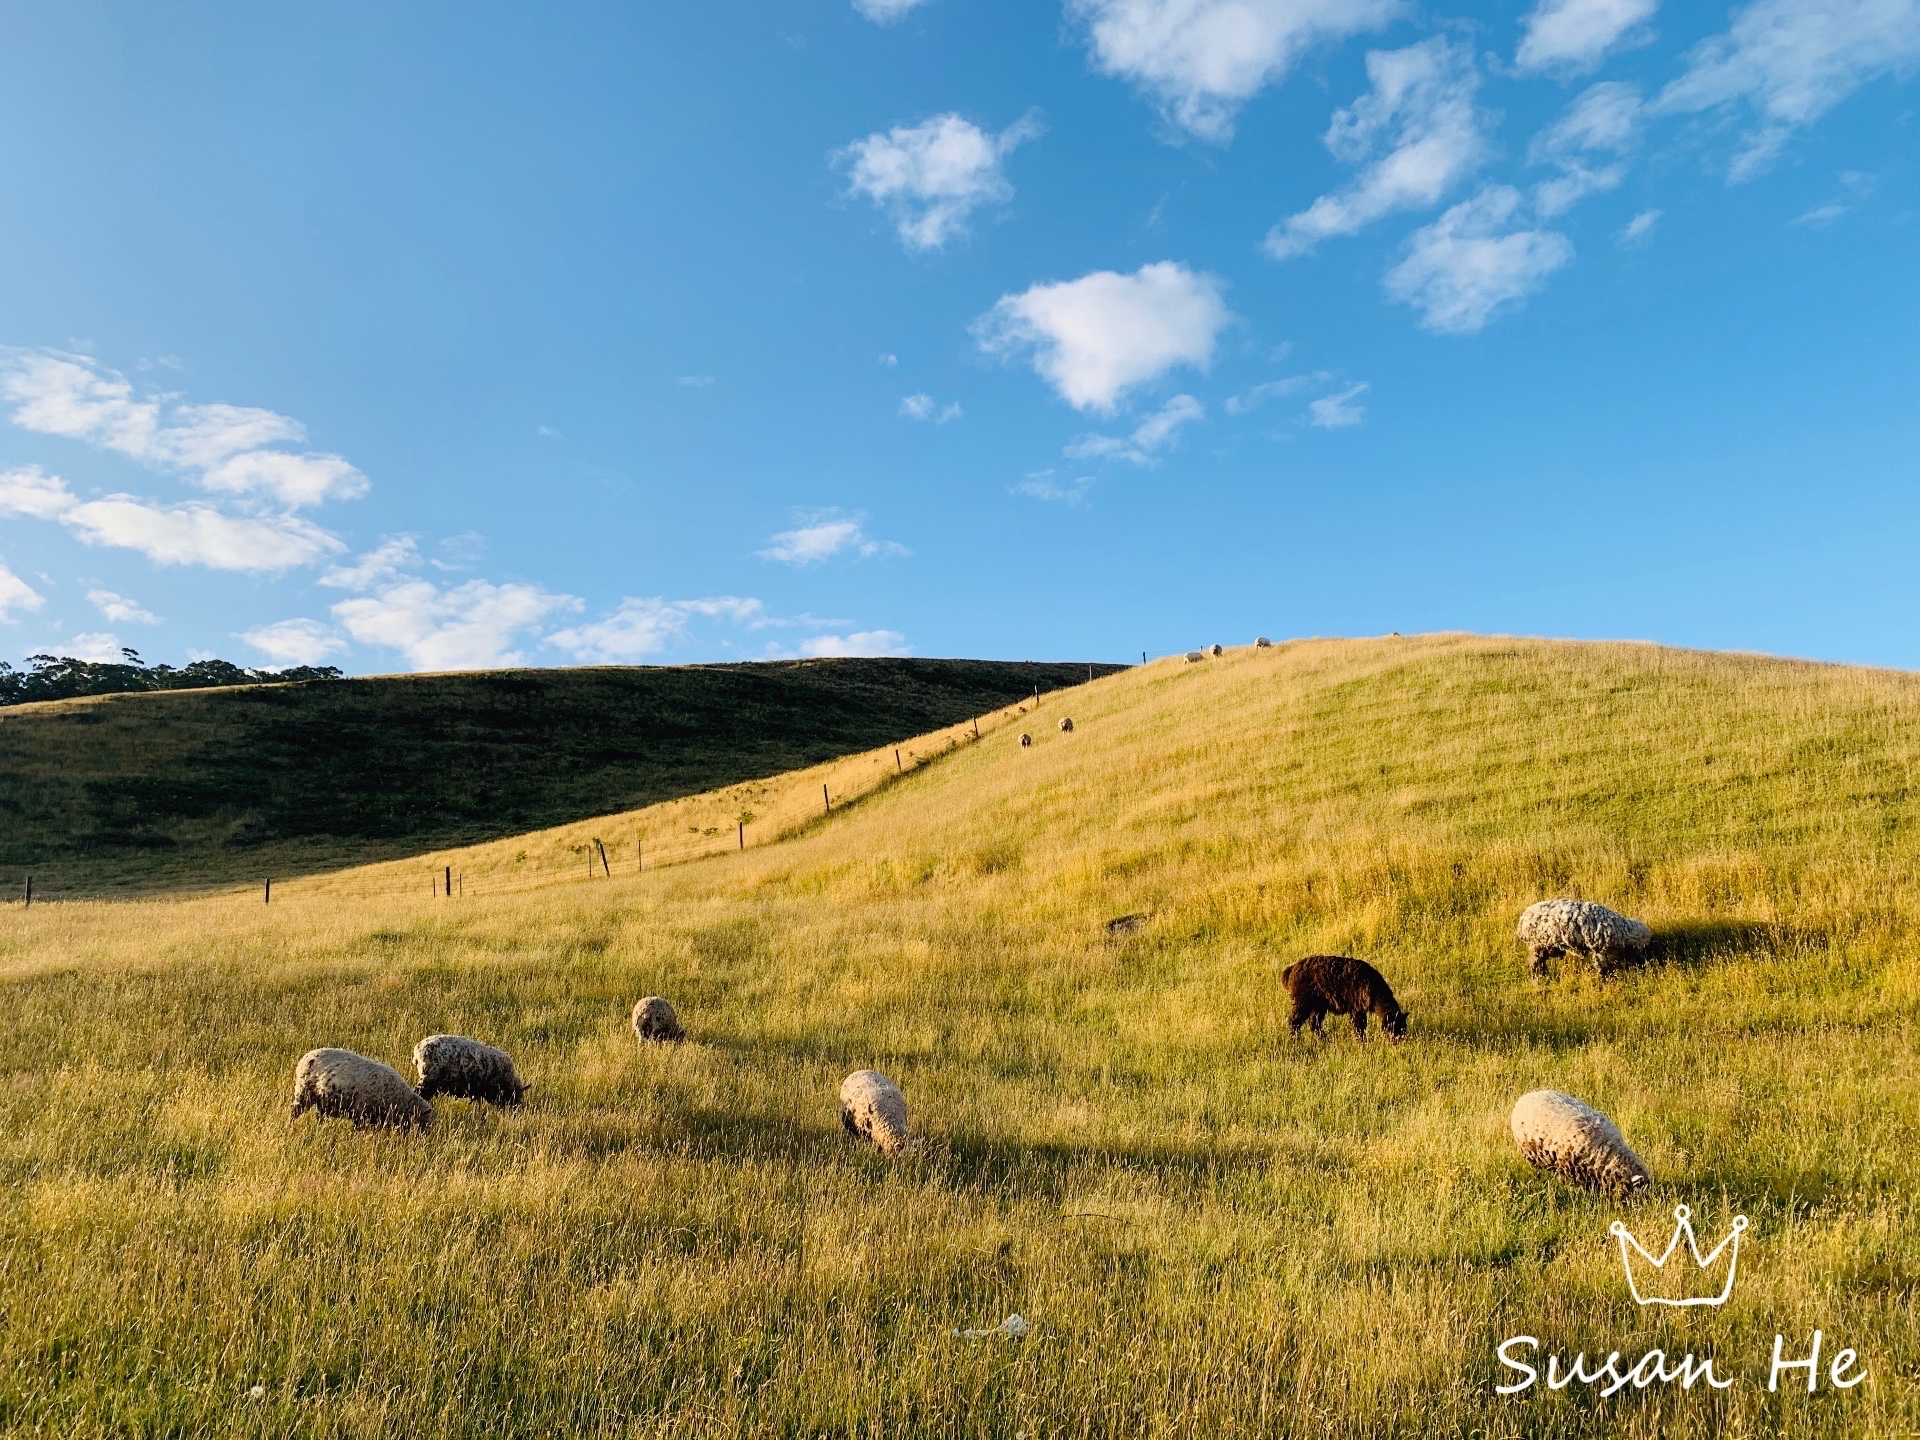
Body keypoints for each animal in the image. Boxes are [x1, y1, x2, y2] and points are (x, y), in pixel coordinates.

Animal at [288, 1052, 432, 1136]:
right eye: (426, 1123)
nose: (425, 1139)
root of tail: (305, 1057)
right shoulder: (360, 1113)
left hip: (321, 1100)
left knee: (318, 1116)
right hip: (303, 1093)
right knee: (294, 1112)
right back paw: (289, 1126)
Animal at [1512, 902, 1651, 983]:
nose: (1644, 963)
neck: (1621, 929)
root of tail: (1522, 921)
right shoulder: (1599, 948)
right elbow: (1602, 967)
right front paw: (1607, 979)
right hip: (1538, 944)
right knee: (1535, 965)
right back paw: (1539, 978)